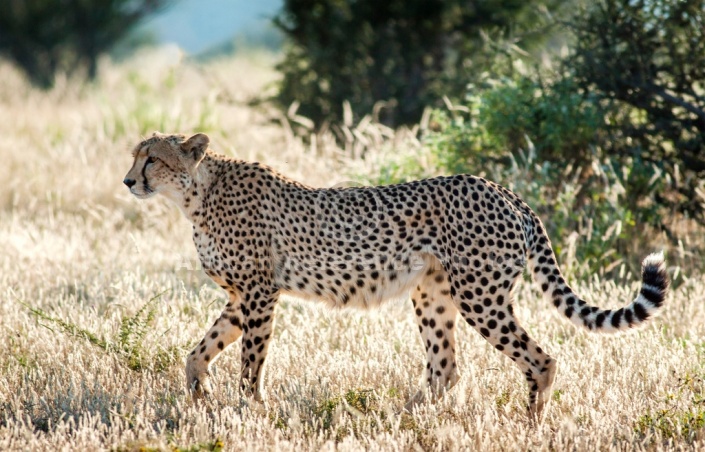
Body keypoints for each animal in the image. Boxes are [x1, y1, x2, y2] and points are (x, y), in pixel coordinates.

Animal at [124, 132, 668, 418]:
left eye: (153, 158)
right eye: (135, 155)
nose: (128, 181)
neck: (196, 195)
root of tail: (502, 189)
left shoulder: (259, 292)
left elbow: (250, 360)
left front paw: (250, 408)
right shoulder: (242, 296)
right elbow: (200, 349)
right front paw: (199, 393)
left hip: (480, 296)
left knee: (540, 359)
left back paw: (531, 425)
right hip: (432, 296)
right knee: (446, 368)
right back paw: (409, 414)